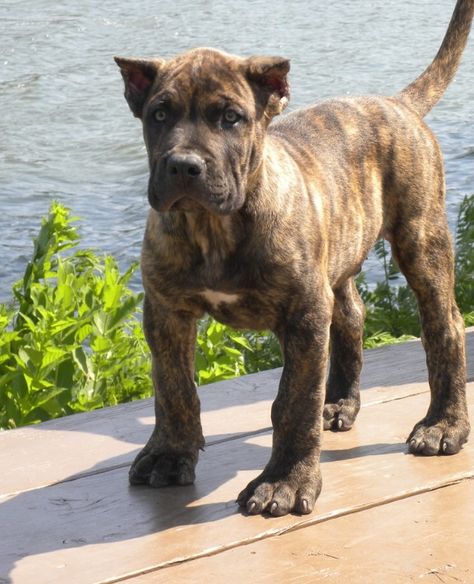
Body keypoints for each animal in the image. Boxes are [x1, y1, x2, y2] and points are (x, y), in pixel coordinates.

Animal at [115, 1, 474, 520]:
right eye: (159, 114)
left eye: (231, 118)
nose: (184, 165)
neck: (214, 228)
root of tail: (397, 104)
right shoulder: (165, 311)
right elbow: (173, 387)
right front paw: (169, 453)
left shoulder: (303, 316)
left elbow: (293, 403)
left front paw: (283, 482)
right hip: (339, 255)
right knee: (351, 315)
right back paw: (341, 402)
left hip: (421, 240)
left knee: (444, 326)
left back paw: (444, 425)